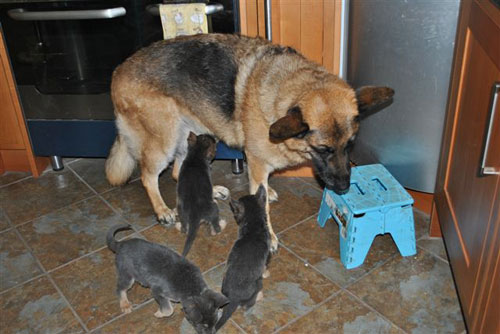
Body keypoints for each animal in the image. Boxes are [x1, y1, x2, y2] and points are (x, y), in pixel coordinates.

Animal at [214, 185, 270, 332]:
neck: (253, 226)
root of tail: (234, 298)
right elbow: (265, 266)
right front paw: (266, 272)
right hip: (258, 284)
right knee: (248, 304)